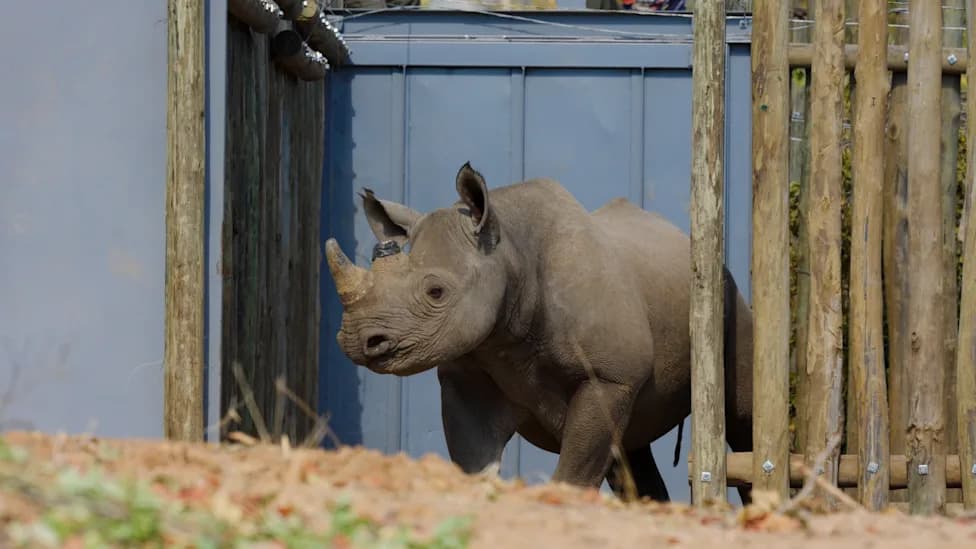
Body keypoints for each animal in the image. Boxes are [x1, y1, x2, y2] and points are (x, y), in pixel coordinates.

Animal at [325, 162, 754, 503]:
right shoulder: (467, 376)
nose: (357, 340)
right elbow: (476, 464)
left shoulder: (608, 377)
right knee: (632, 447)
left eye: (436, 292)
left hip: (726, 292)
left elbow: (575, 473)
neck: (509, 251)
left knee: (741, 420)